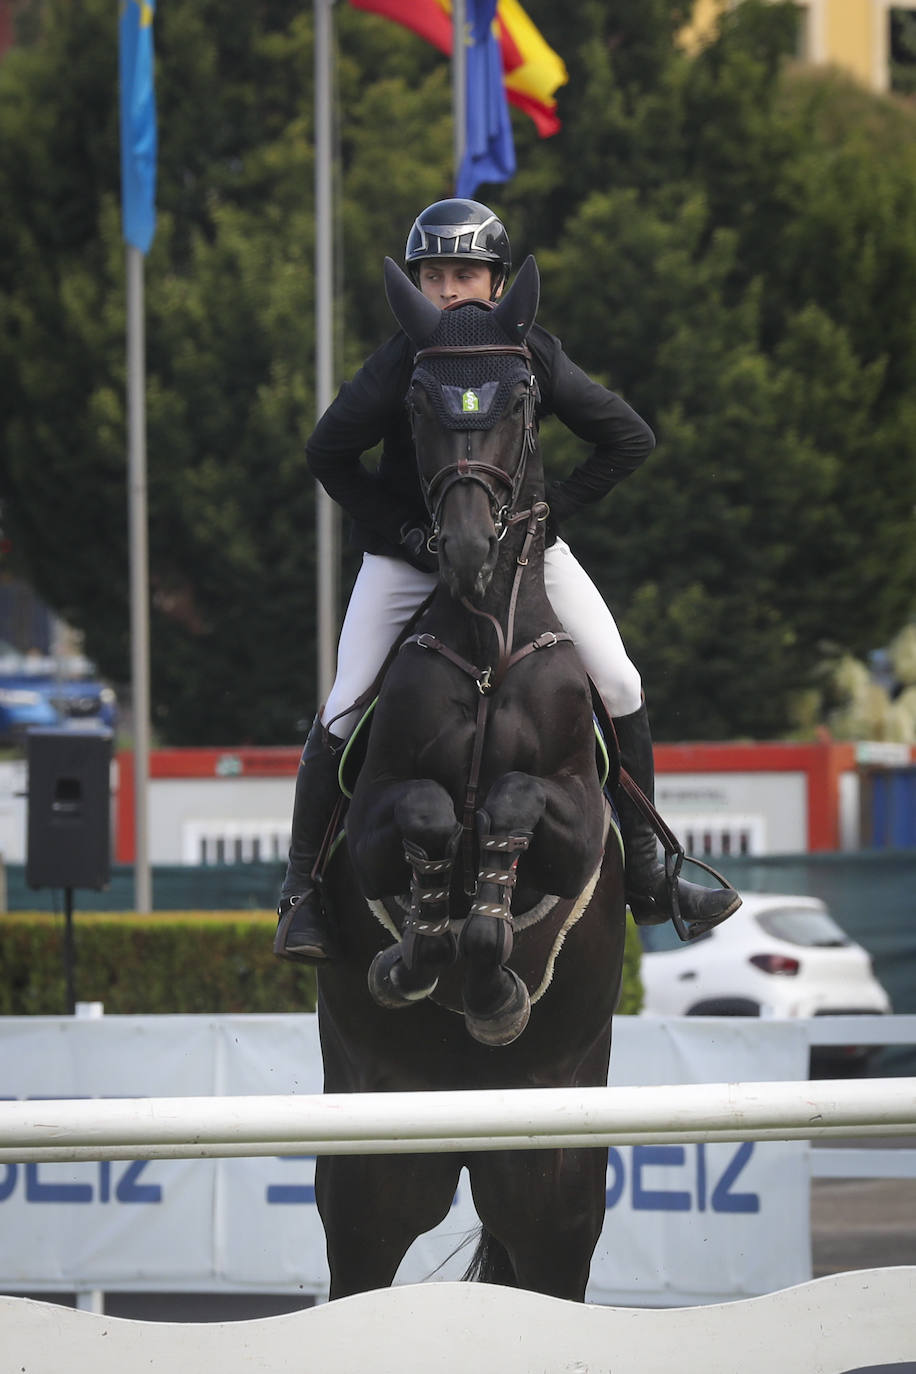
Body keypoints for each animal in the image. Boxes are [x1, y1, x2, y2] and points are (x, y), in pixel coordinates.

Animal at [315, 258, 631, 1297]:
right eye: (416, 399)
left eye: (525, 394)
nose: (460, 549)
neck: (487, 642)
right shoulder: (372, 819)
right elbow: (421, 812)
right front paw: (421, 948)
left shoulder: (576, 820)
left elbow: (517, 803)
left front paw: (488, 955)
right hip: (379, 1159)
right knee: (362, 1253)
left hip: (551, 1168)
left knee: (548, 1254)